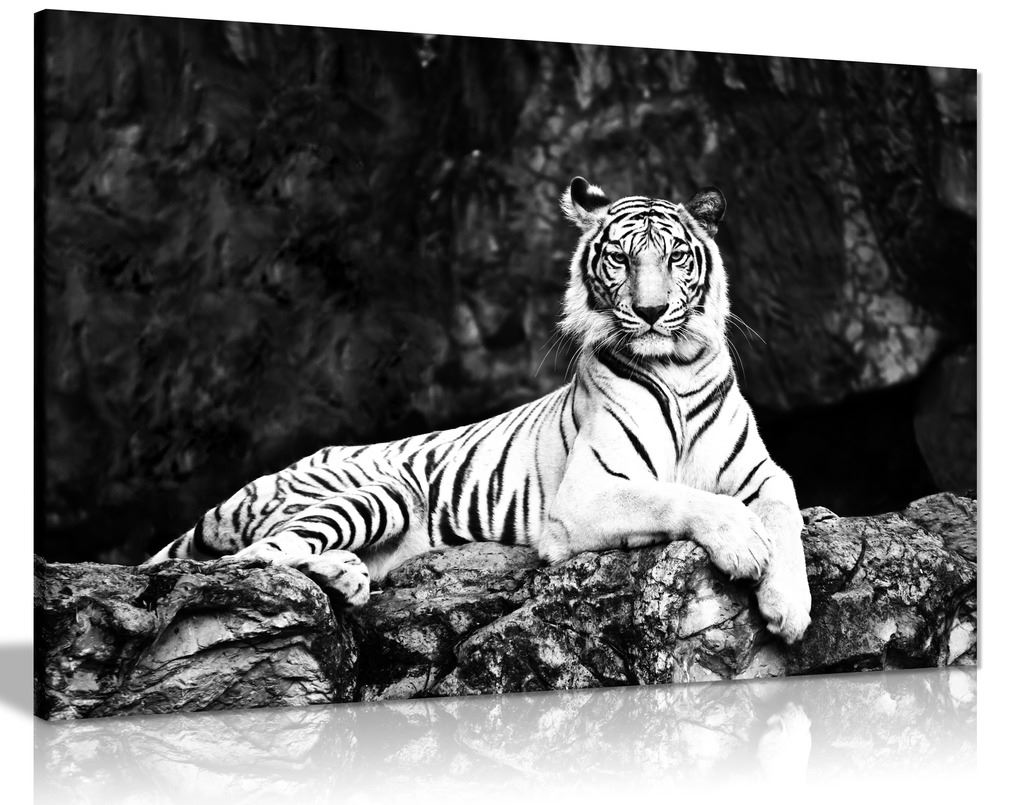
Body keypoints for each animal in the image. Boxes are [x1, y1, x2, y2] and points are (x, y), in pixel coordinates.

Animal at [145, 176, 813, 643]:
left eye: (674, 257)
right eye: (621, 259)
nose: (650, 313)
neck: (674, 364)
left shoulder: (761, 472)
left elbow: (784, 509)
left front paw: (791, 606)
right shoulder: (588, 491)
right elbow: (677, 497)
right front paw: (744, 546)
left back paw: (350, 576)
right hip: (378, 489)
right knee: (257, 556)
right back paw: (339, 573)